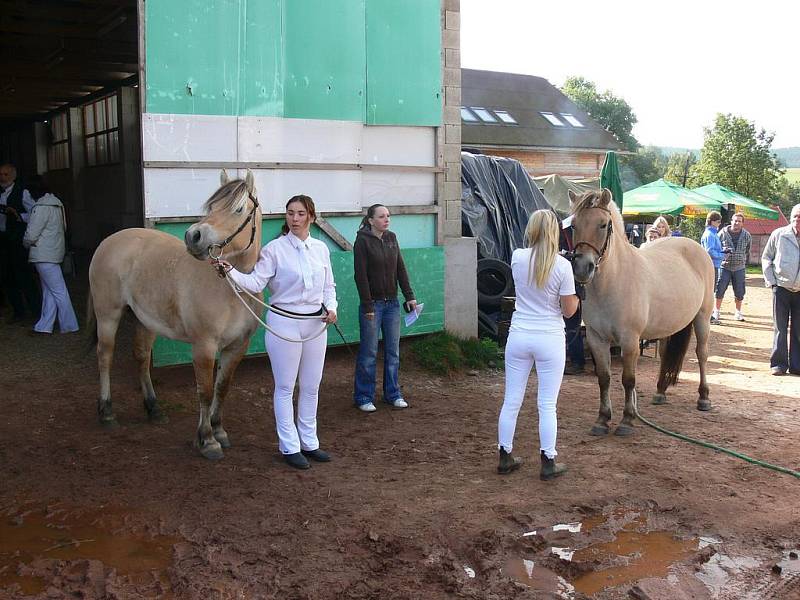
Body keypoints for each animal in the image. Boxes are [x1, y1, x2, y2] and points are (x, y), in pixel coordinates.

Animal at [87, 170, 262, 460]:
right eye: (212, 206)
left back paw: (153, 408)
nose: (193, 236)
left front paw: (219, 431)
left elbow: (222, 387)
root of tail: (109, 240)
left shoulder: (238, 346)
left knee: (141, 357)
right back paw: (107, 412)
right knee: (105, 356)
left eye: (238, 209)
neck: (230, 288)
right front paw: (207, 440)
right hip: (108, 314)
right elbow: (204, 391)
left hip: (145, 320)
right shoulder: (203, 346)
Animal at [568, 189, 712, 436]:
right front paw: (602, 419)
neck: (613, 281)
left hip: (702, 317)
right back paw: (660, 392)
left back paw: (703, 398)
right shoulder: (597, 338)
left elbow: (628, 380)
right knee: (665, 354)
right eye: (574, 225)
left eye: (603, 224)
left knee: (701, 354)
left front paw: (627, 420)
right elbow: (604, 378)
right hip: (669, 326)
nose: (582, 268)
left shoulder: (630, 340)